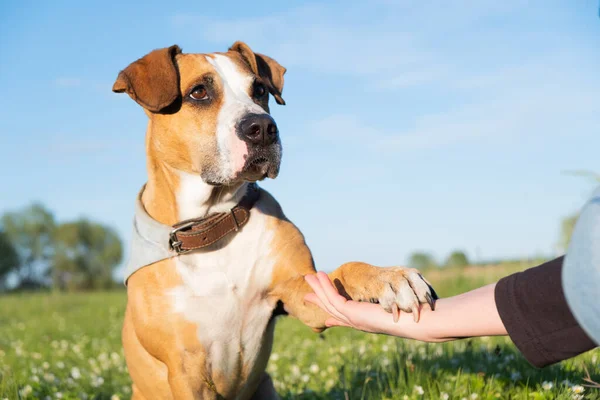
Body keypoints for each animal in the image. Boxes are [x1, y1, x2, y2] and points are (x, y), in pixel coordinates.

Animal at [113, 42, 436, 398]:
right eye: (198, 92)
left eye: (260, 90)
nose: (263, 128)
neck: (212, 224)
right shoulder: (184, 367)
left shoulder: (302, 293)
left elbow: (343, 271)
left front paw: (389, 277)